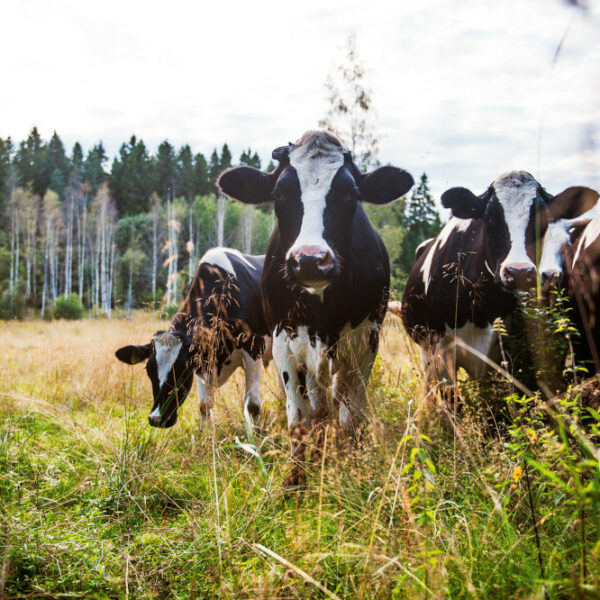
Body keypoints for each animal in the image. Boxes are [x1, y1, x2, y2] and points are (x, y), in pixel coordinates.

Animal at [115, 247, 270, 426]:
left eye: (182, 370)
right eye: (149, 370)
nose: (156, 418)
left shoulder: (254, 348)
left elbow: (253, 405)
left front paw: (258, 432)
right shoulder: (203, 361)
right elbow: (204, 405)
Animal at [218, 132, 414, 446]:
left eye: (351, 193)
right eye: (278, 194)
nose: (310, 260)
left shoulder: (365, 340)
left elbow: (350, 416)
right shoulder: (284, 341)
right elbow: (300, 419)